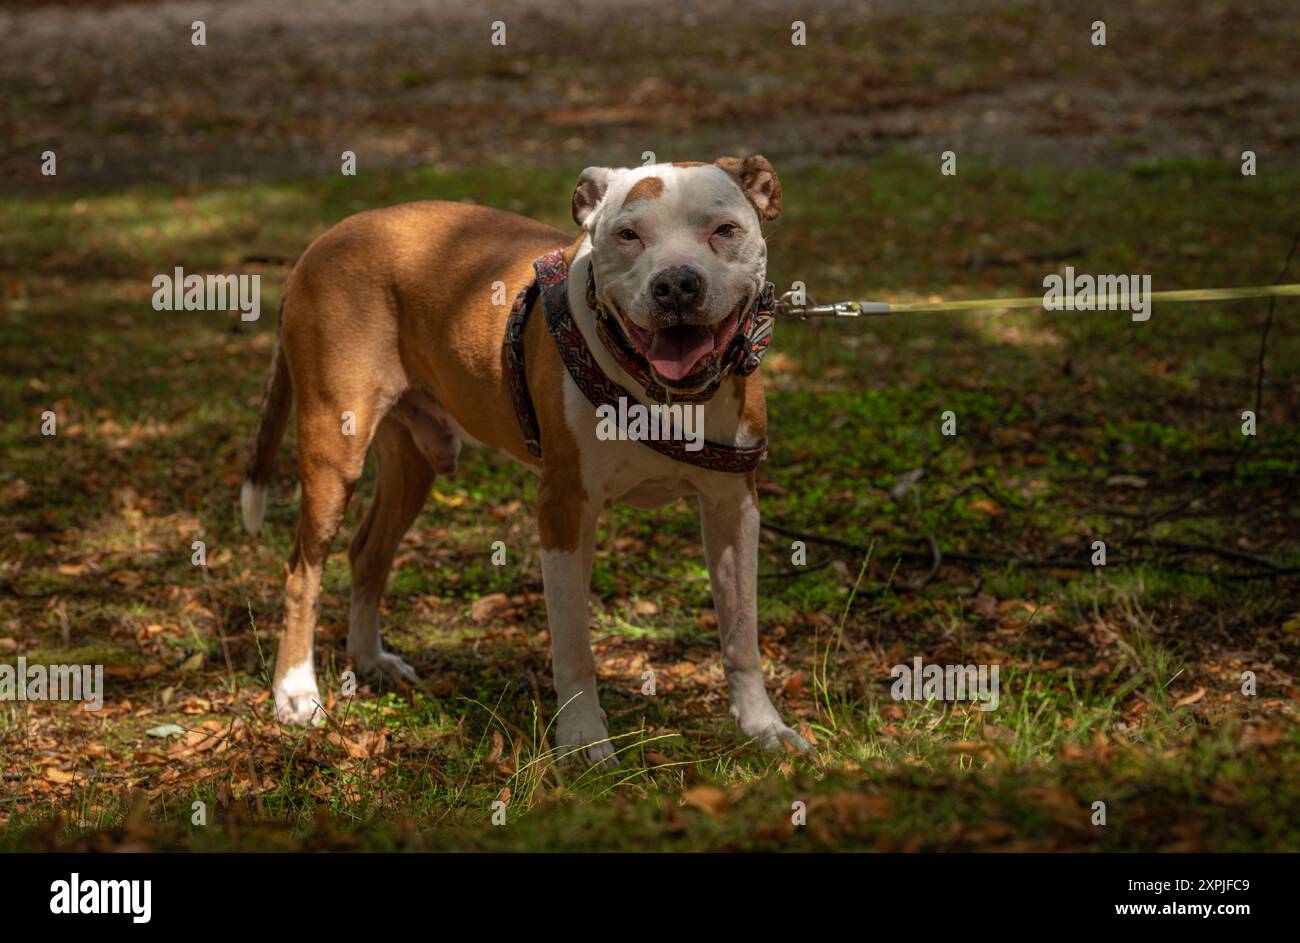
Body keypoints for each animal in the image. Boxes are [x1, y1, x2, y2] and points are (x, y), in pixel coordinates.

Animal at [239, 152, 806, 759]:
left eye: (724, 230)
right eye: (628, 234)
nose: (676, 283)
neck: (661, 393)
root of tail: (323, 240)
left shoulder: (733, 507)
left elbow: (741, 632)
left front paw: (762, 726)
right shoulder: (563, 507)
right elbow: (574, 644)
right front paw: (582, 740)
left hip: (413, 463)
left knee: (368, 553)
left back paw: (370, 661)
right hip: (333, 448)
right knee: (302, 570)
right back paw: (296, 692)